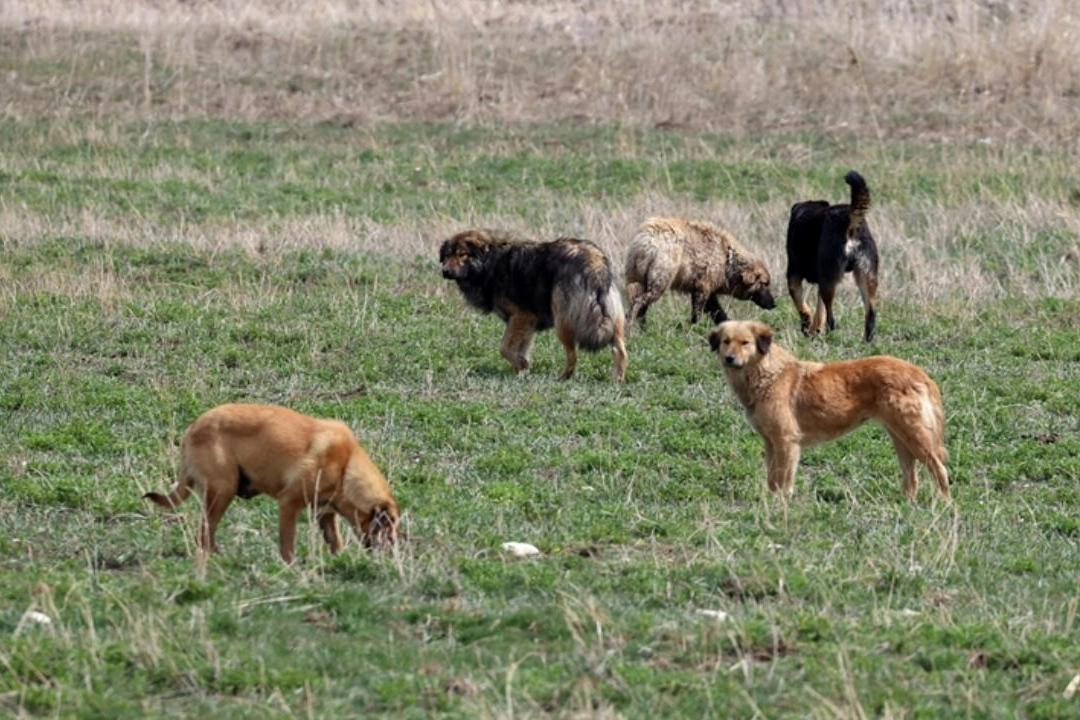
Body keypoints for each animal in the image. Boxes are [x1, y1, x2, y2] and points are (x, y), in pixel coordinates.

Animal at [141, 405, 399, 561]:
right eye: (389, 526)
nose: (395, 550)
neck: (346, 466)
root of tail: (192, 430)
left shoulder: (324, 512)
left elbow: (335, 540)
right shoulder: (289, 504)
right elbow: (287, 543)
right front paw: (291, 566)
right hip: (223, 490)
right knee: (205, 531)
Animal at [626, 213, 777, 325]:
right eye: (764, 283)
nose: (774, 304)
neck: (727, 262)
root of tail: (646, 240)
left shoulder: (708, 287)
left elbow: (718, 312)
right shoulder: (703, 285)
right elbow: (699, 311)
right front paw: (694, 328)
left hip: (638, 275)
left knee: (640, 301)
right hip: (661, 276)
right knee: (641, 300)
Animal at [712, 321, 950, 500]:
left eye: (745, 343)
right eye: (726, 342)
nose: (729, 358)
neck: (767, 373)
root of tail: (918, 372)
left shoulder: (786, 441)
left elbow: (784, 480)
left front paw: (782, 505)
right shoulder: (770, 442)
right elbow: (772, 479)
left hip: (915, 436)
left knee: (940, 469)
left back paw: (943, 504)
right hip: (900, 438)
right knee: (912, 478)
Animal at [786, 170, 876, 343]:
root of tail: (850, 219)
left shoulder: (793, 274)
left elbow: (802, 306)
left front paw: (807, 326)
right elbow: (818, 311)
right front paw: (814, 330)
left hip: (829, 277)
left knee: (831, 317)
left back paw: (830, 335)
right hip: (866, 277)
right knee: (871, 314)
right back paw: (866, 342)